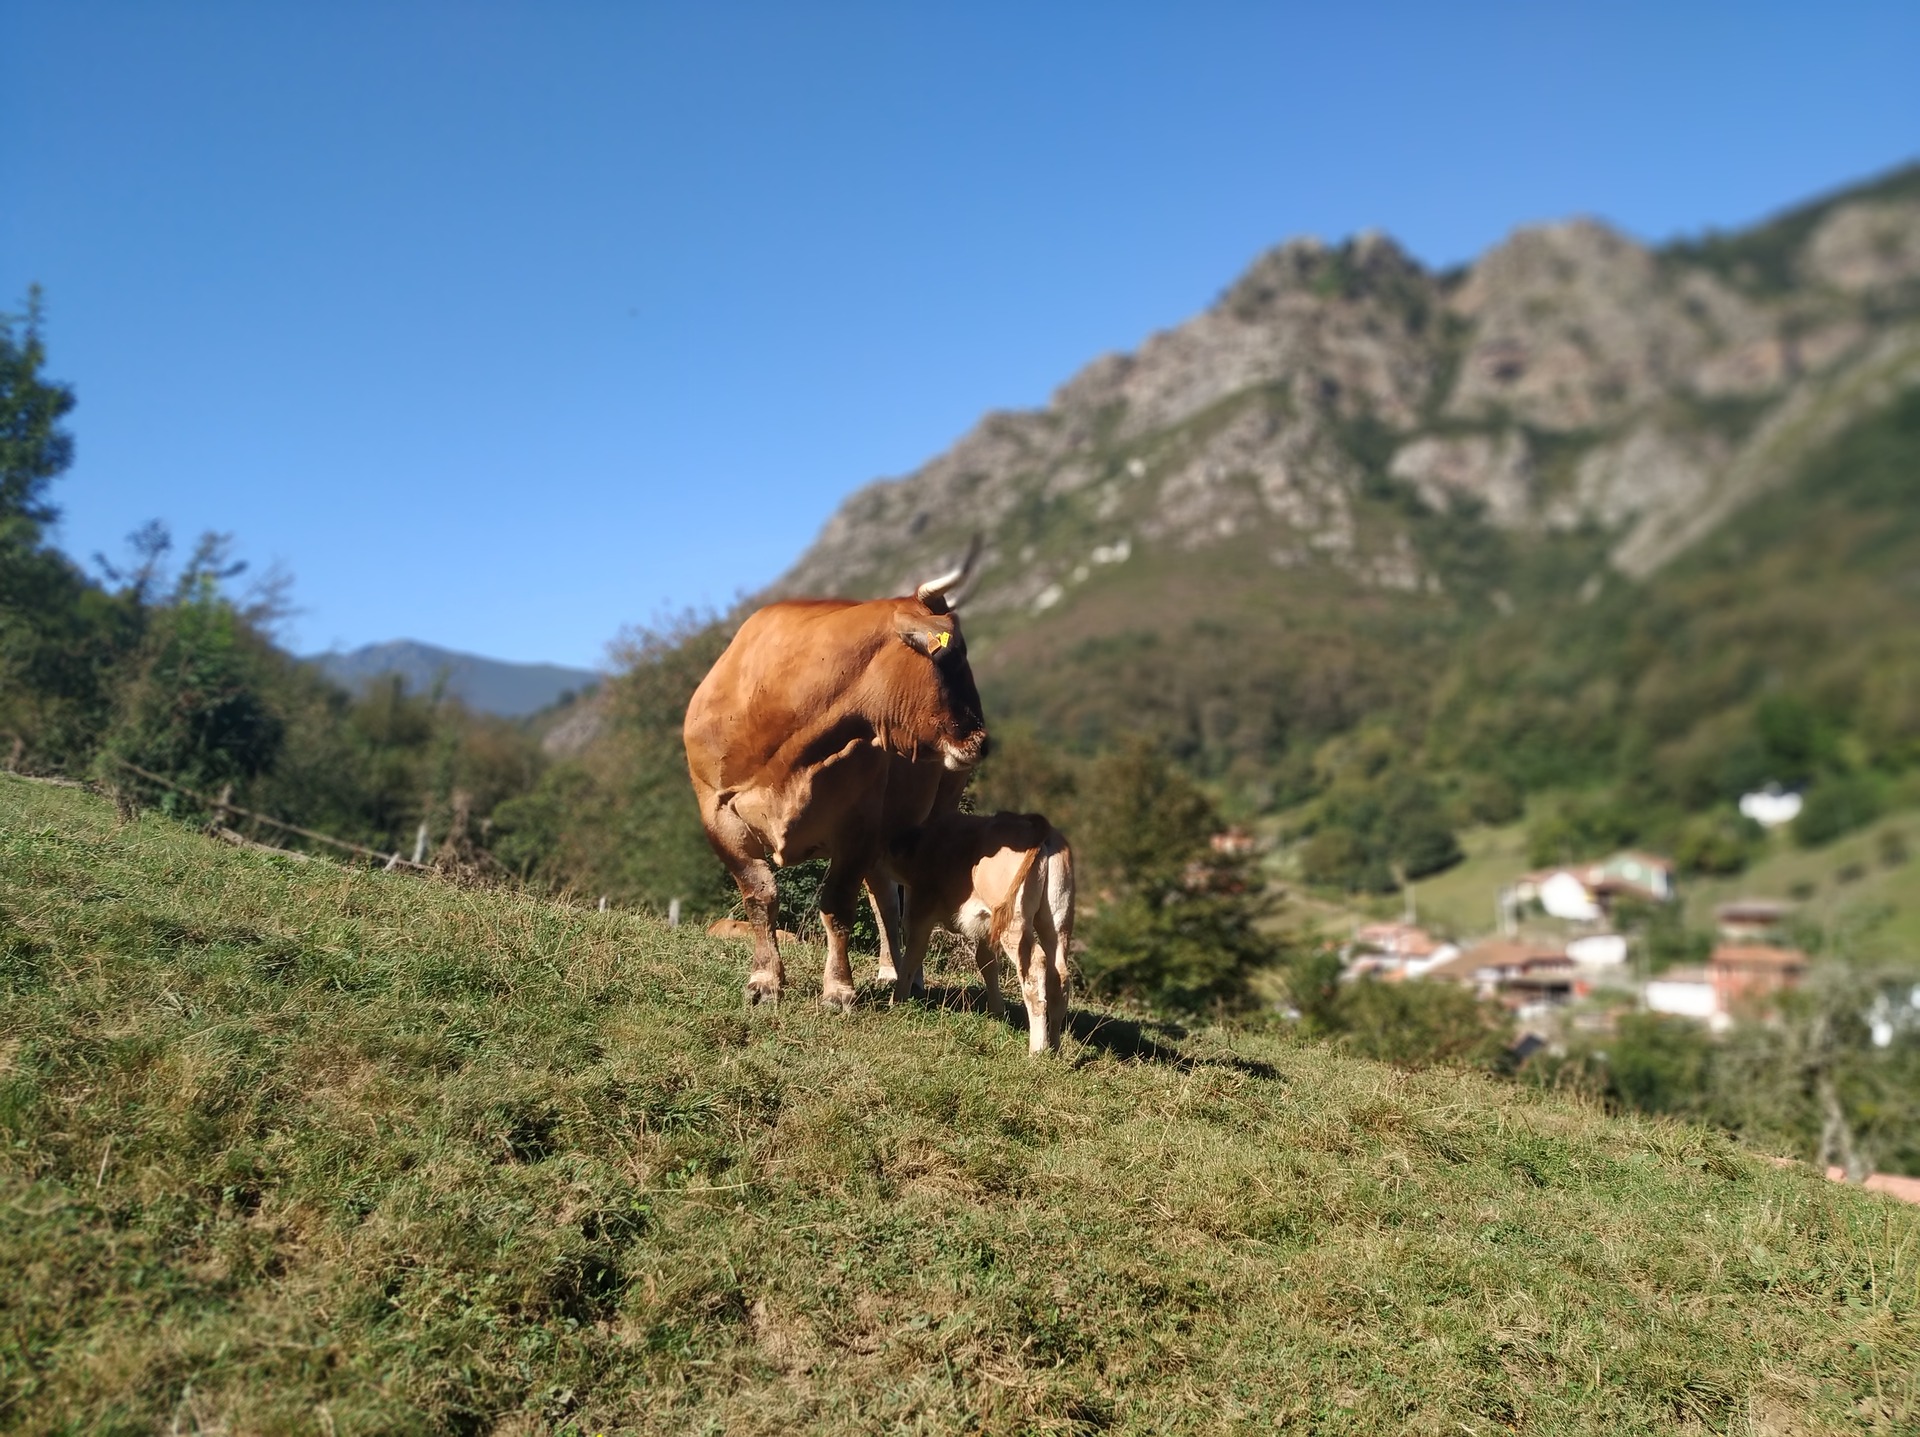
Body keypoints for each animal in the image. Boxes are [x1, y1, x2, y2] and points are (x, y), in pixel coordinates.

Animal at [687, 545, 990, 1006]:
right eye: (947, 655)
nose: (981, 739)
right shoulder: (717, 814)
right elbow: (760, 895)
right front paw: (764, 980)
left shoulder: (859, 824)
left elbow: (836, 905)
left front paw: (839, 988)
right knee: (885, 897)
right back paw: (889, 971)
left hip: (933, 811)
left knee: (908, 896)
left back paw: (911, 978)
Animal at [879, 806, 1075, 1052]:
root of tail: (1035, 826)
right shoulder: (987, 925)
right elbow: (986, 961)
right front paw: (996, 1012)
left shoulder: (921, 911)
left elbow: (913, 956)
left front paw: (897, 1000)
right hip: (1057, 921)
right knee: (1060, 975)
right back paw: (1055, 1046)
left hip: (1016, 925)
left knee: (1035, 966)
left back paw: (1037, 1048)